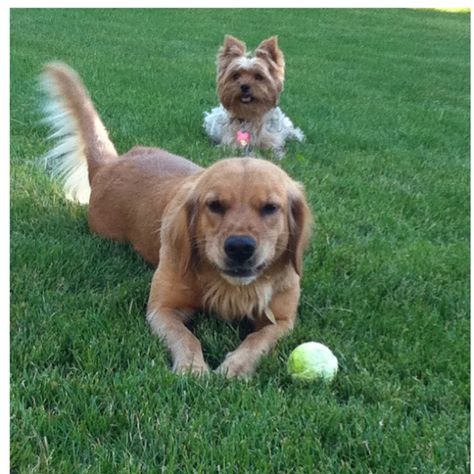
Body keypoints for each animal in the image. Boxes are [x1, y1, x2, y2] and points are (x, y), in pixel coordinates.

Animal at [42, 63, 312, 380]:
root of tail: (110, 165)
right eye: (214, 205)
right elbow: (186, 336)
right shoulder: (162, 308)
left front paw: (237, 365)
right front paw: (192, 366)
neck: (229, 289)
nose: (240, 248)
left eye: (271, 208)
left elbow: (258, 338)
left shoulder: (282, 320)